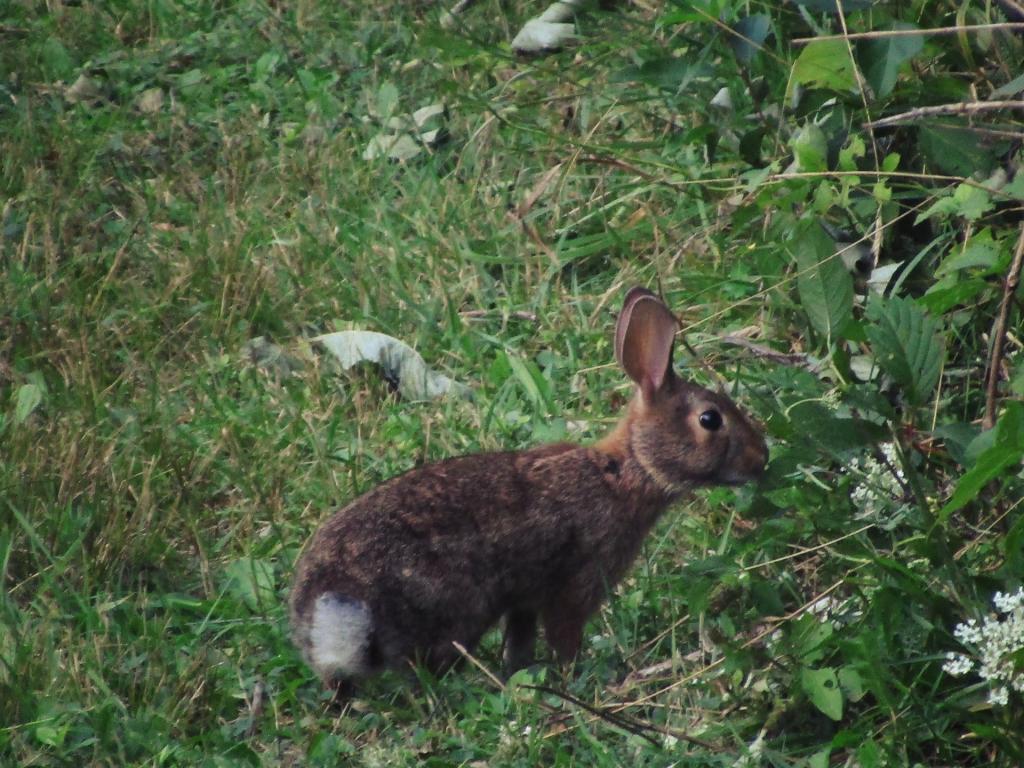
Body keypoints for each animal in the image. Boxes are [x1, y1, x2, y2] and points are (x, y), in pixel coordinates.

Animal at [289, 287, 768, 690]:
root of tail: (333, 605)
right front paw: (575, 677)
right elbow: (564, 635)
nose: (761, 458)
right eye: (710, 419)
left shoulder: (523, 603)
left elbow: (519, 641)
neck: (624, 470)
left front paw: (521, 671)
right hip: (455, 606)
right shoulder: (576, 583)